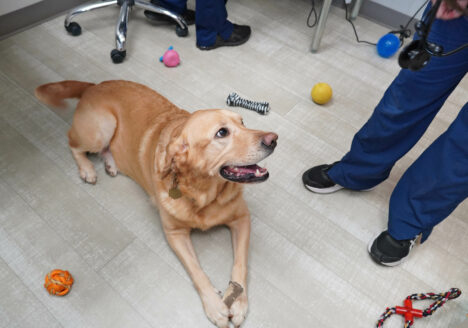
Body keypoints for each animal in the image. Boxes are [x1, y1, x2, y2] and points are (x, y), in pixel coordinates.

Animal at [37, 80, 278, 328]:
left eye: (243, 122)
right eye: (222, 133)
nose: (273, 139)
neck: (203, 193)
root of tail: (94, 85)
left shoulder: (242, 219)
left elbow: (240, 263)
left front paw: (238, 302)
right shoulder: (175, 233)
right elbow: (197, 271)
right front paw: (215, 305)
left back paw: (111, 163)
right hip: (101, 128)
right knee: (73, 143)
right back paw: (87, 169)